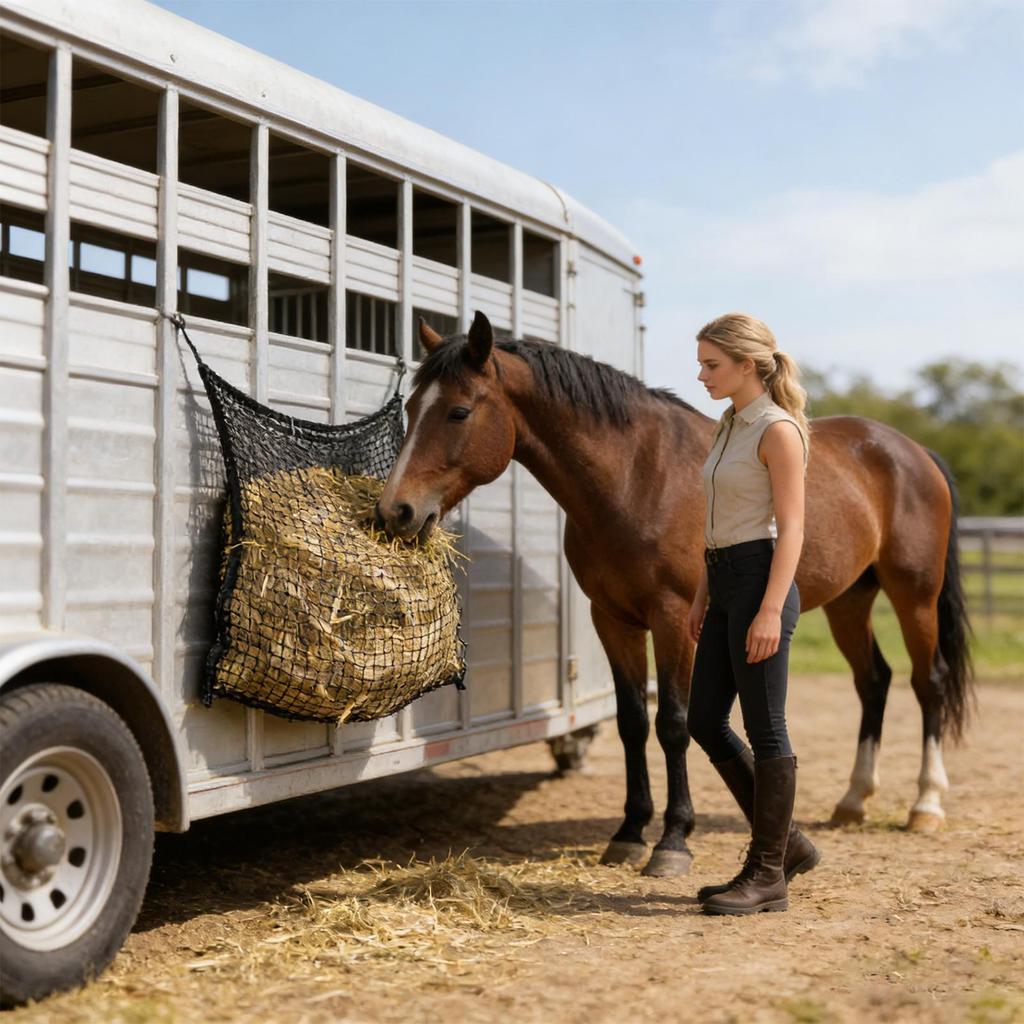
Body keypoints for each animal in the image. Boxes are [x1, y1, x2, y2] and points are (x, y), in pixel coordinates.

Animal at [376, 311, 973, 878]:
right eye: (411, 407)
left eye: (458, 412)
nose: (396, 512)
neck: (636, 476)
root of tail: (912, 451)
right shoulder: (612, 619)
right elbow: (632, 722)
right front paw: (628, 832)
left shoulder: (674, 619)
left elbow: (674, 723)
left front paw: (672, 841)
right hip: (850, 601)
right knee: (873, 682)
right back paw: (853, 800)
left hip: (914, 596)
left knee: (927, 683)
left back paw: (926, 805)